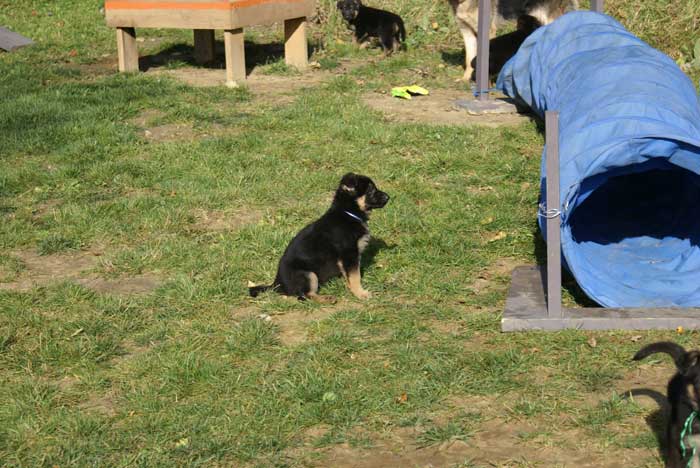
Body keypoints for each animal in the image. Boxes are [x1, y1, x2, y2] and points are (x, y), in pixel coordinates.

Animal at [247, 174, 392, 302]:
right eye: (371, 190)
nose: (389, 197)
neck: (348, 213)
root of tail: (277, 284)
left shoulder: (347, 259)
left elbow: (349, 275)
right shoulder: (349, 255)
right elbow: (355, 276)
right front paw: (361, 293)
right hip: (308, 274)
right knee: (305, 296)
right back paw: (326, 298)